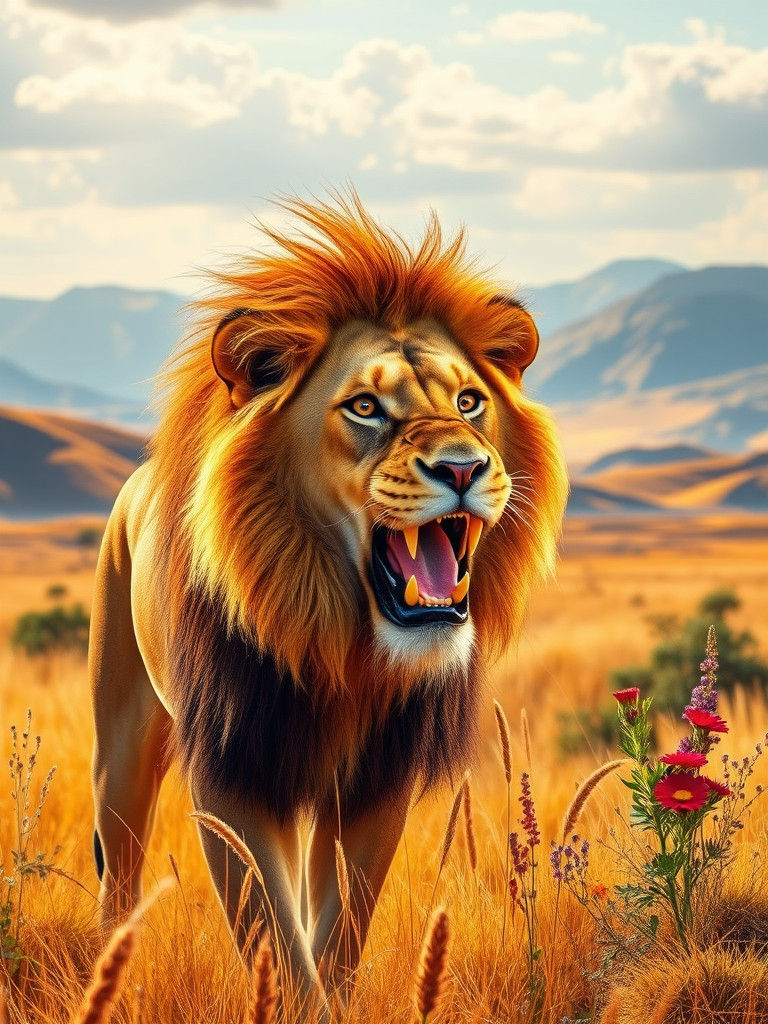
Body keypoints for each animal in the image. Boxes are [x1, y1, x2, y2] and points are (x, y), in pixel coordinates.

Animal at [89, 192, 568, 1015]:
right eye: (366, 407)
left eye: (470, 402)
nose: (464, 468)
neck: (340, 644)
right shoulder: (237, 768)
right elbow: (277, 936)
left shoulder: (376, 779)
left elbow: (338, 927)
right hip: (119, 740)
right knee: (119, 871)